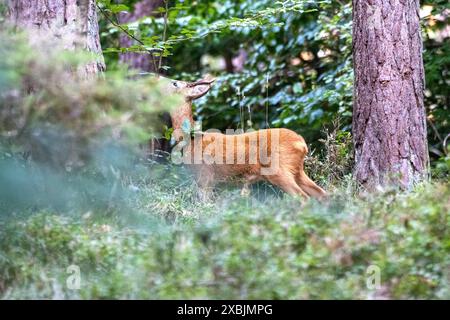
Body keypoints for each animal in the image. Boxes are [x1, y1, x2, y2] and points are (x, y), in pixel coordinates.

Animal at [160, 75, 326, 200]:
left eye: (175, 83)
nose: (158, 77)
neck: (191, 139)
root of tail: (301, 143)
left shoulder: (205, 177)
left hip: (279, 169)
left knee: (303, 197)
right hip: (297, 170)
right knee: (323, 194)